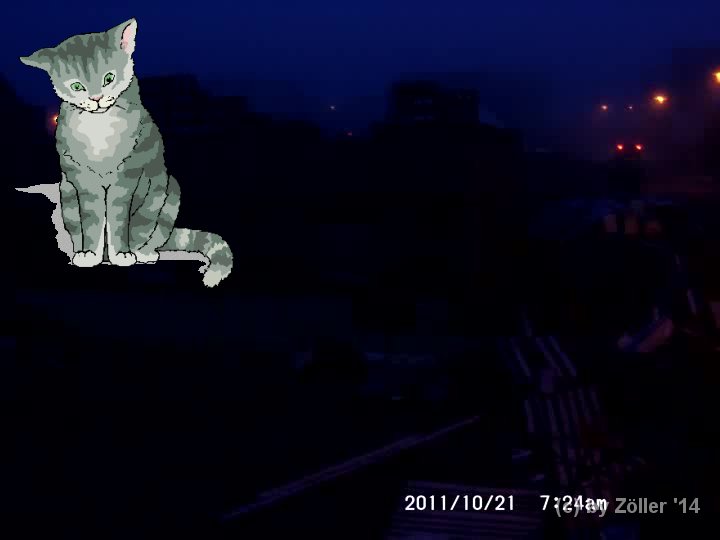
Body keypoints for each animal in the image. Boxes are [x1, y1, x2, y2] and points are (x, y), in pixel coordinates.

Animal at [19, 18, 233, 287]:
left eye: (109, 78)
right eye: (77, 86)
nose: (96, 99)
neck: (99, 127)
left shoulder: (127, 177)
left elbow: (119, 218)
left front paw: (122, 253)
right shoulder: (83, 180)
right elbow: (92, 219)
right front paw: (88, 253)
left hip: (170, 189)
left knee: (150, 230)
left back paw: (143, 254)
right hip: (66, 191)